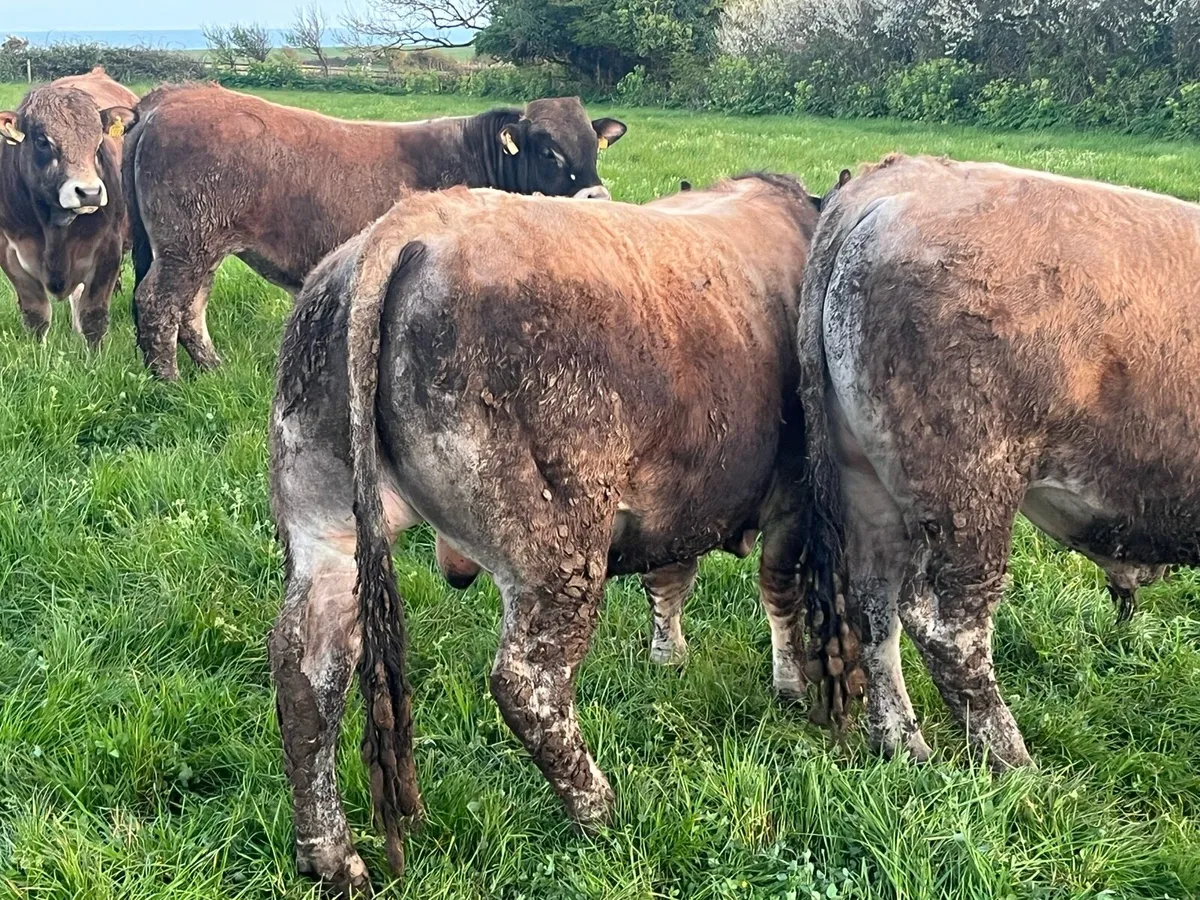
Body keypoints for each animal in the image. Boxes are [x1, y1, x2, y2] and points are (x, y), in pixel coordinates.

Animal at [0, 67, 137, 346]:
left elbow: (93, 314)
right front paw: (38, 352)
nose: (90, 193)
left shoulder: (108, 249)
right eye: (43, 141)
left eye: (98, 142)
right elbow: (36, 315)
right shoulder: (8, 251)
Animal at [123, 84, 627, 380]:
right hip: (186, 245)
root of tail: (167, 98)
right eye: (548, 150)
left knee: (190, 310)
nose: (597, 198)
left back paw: (213, 369)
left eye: (593, 145)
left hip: (200, 247)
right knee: (158, 305)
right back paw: (167, 383)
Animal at [268, 174, 819, 895]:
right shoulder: (793, 497)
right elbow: (779, 593)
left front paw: (669, 658)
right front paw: (793, 686)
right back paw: (600, 809)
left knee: (306, 675)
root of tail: (411, 221)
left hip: (323, 535)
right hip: (559, 549)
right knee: (527, 682)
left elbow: (670, 578)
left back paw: (331, 857)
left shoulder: (676, 504)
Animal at [799, 153, 1200, 771]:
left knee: (874, 605)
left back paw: (903, 746)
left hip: (868, 483)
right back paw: (1015, 766)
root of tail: (895, 182)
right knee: (947, 628)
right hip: (973, 488)